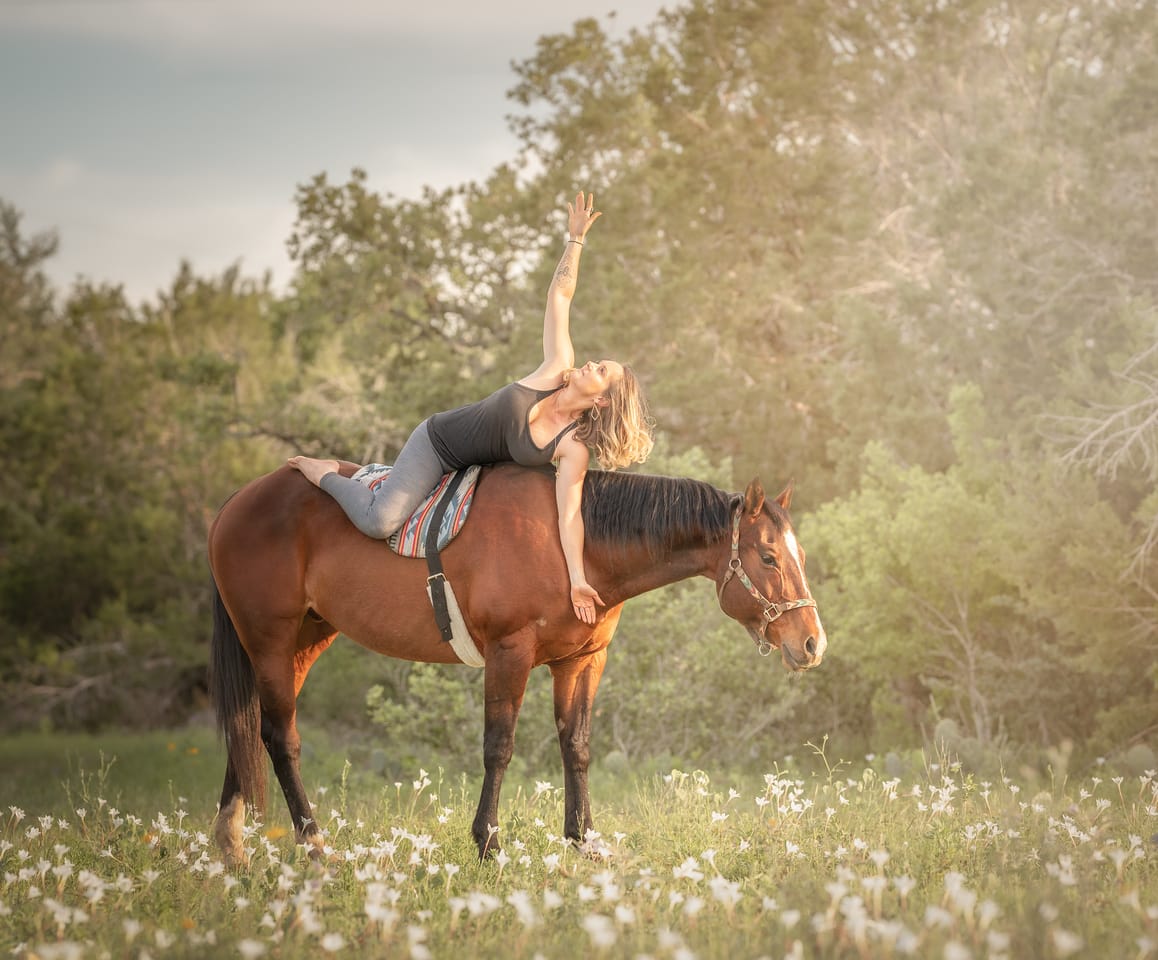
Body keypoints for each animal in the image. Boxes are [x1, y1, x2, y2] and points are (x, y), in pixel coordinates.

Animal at [208, 460, 824, 856]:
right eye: (768, 556)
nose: (812, 643)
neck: (574, 542)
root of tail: (235, 503)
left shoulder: (582, 661)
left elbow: (576, 746)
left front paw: (583, 841)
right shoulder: (510, 653)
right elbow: (498, 747)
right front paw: (488, 843)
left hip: (304, 642)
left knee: (252, 731)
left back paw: (231, 845)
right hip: (270, 640)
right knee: (279, 738)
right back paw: (312, 842)